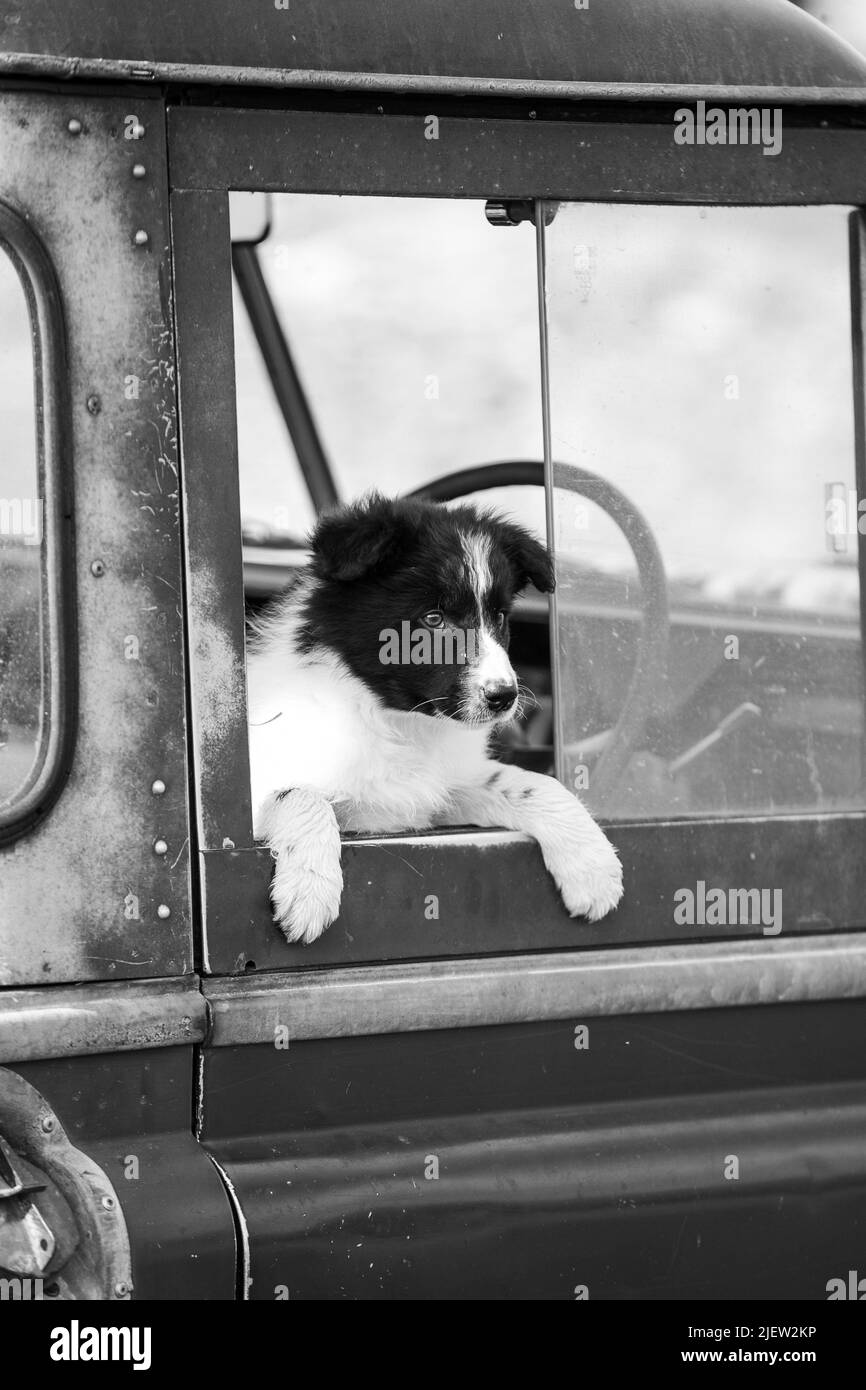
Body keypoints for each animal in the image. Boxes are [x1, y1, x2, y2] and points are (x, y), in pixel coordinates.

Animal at [246, 492, 622, 945]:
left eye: (499, 617)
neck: (391, 718)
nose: (505, 697)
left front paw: (594, 866)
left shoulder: (438, 792)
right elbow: (300, 795)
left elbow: (527, 783)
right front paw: (309, 889)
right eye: (432, 620)